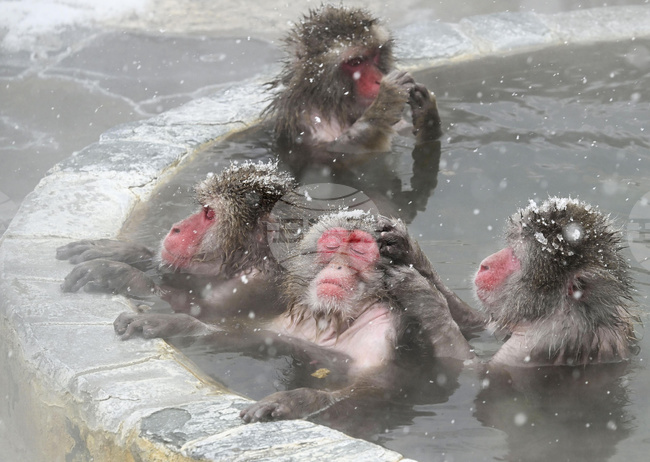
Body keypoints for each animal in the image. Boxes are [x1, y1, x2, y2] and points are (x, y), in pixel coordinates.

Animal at [56, 161, 295, 320]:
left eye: (210, 214)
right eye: (204, 209)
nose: (176, 228)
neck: (242, 263)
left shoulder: (255, 286)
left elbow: (204, 312)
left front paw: (120, 274)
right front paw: (120, 252)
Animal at [114, 211, 472, 422]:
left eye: (359, 250)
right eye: (333, 245)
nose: (339, 266)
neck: (337, 318)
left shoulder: (386, 331)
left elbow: (379, 388)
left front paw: (297, 401)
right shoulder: (294, 323)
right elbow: (254, 337)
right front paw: (172, 322)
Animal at [265, 5, 442, 165]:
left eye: (375, 55)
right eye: (355, 62)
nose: (379, 79)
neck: (335, 104)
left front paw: (426, 111)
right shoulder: (310, 120)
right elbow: (340, 152)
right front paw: (386, 102)